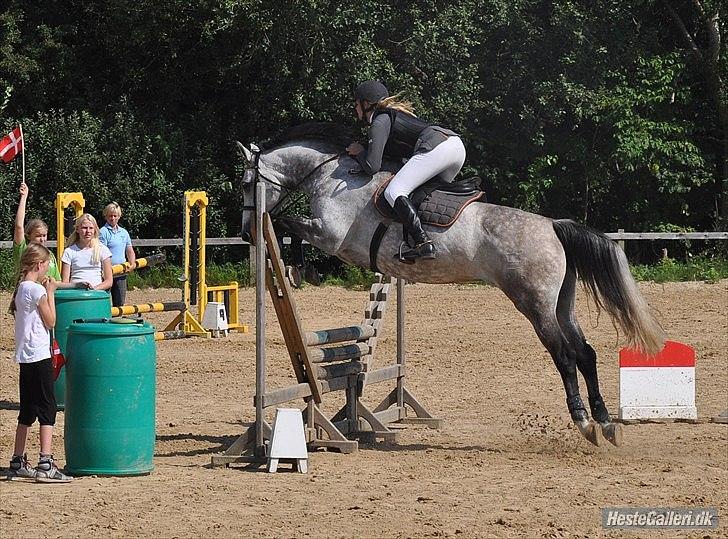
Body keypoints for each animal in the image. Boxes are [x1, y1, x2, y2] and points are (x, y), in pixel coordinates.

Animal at [239, 123, 664, 448]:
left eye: (245, 183)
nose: (245, 232)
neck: (329, 177)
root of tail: (552, 226)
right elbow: (290, 227)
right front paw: (300, 269)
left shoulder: (332, 235)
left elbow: (289, 225)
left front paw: (299, 269)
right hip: (562, 302)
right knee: (586, 353)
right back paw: (605, 423)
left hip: (534, 303)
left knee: (564, 354)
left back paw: (583, 421)